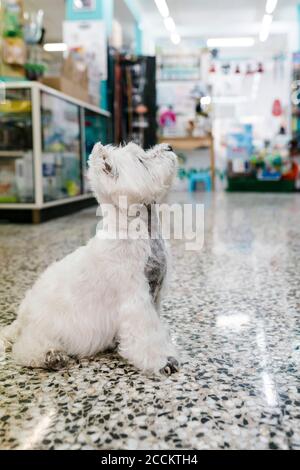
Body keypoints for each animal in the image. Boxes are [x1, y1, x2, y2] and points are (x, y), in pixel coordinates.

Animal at [0, 141, 180, 376]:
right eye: (141, 159)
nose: (169, 147)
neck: (143, 234)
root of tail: (21, 316)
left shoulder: (155, 298)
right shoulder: (135, 302)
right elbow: (146, 336)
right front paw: (163, 361)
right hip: (46, 327)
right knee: (25, 347)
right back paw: (51, 356)